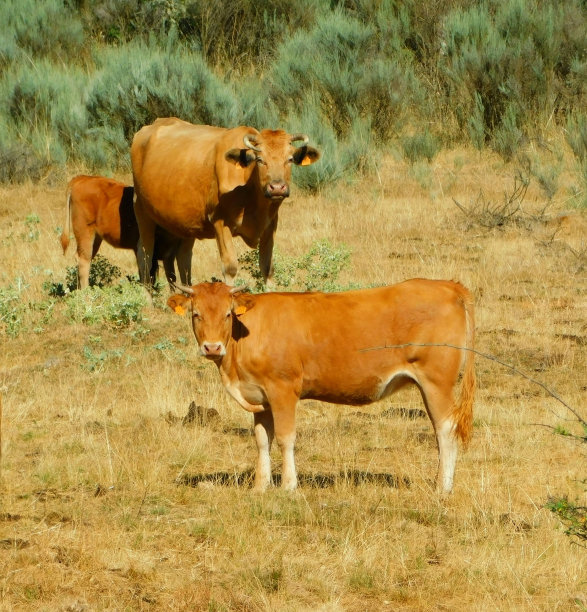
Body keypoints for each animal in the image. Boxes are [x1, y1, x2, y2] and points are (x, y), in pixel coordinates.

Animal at [131, 118, 320, 288]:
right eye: (259, 160)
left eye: (290, 159)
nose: (277, 187)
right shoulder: (220, 222)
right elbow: (230, 268)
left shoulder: (270, 226)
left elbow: (267, 268)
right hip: (142, 212)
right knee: (145, 256)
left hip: (182, 224)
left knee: (181, 259)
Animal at [167, 280, 478, 494]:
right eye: (196, 314)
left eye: (228, 315)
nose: (212, 347)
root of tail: (447, 285)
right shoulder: (260, 397)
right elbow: (262, 440)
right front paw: (260, 486)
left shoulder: (283, 390)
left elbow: (285, 438)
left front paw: (288, 485)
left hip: (436, 382)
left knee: (445, 428)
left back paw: (442, 486)